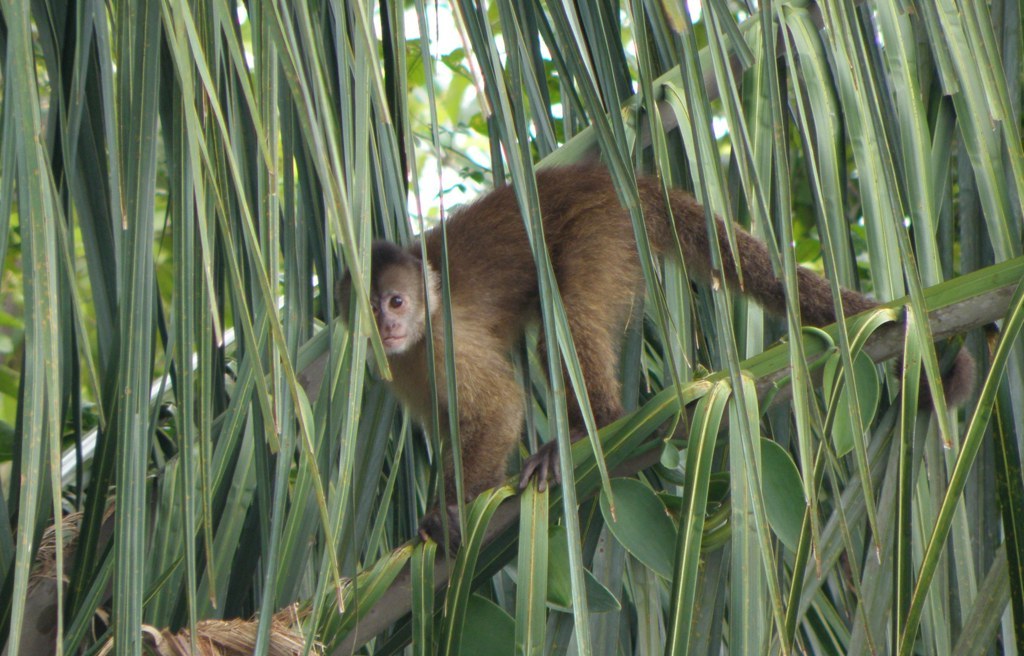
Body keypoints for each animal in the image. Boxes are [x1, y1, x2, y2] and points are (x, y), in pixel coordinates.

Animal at [337, 163, 974, 548]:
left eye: (397, 300)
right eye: (372, 307)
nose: (387, 323)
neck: (419, 332)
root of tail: (608, 175)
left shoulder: (444, 342)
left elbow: (498, 407)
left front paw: (455, 511)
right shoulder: (402, 365)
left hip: (605, 230)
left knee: (568, 317)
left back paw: (590, 429)